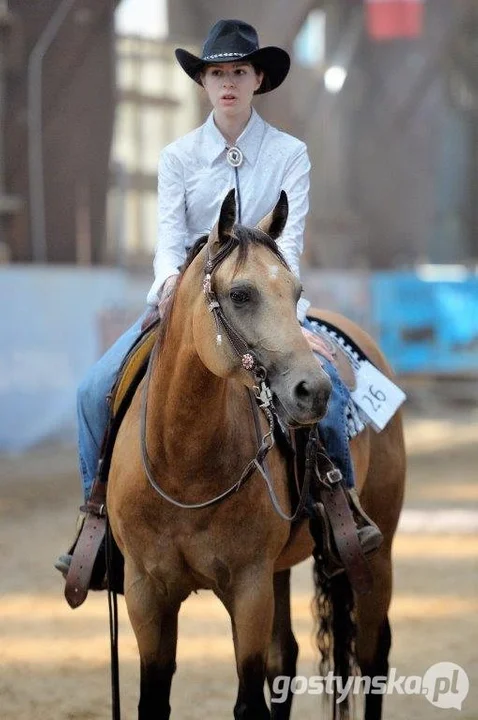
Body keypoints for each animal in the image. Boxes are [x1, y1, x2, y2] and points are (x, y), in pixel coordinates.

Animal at [107, 191, 408, 720]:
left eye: (295, 290)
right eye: (242, 294)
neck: (182, 468)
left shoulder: (249, 589)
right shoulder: (146, 592)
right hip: (280, 570)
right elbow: (155, 701)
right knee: (284, 659)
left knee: (373, 655)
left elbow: (250, 702)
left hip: (380, 551)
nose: (314, 391)